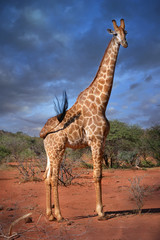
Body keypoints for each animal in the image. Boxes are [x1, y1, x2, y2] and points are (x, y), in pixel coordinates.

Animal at [40, 18, 127, 221]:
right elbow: (97, 175)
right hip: (57, 149)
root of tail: (42, 133)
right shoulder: (96, 139)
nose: (125, 43)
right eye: (115, 34)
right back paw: (60, 215)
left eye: (125, 32)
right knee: (54, 178)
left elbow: (99, 174)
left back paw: (50, 215)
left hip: (52, 151)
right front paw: (101, 212)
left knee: (47, 177)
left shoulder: (102, 140)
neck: (102, 102)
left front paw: (100, 209)